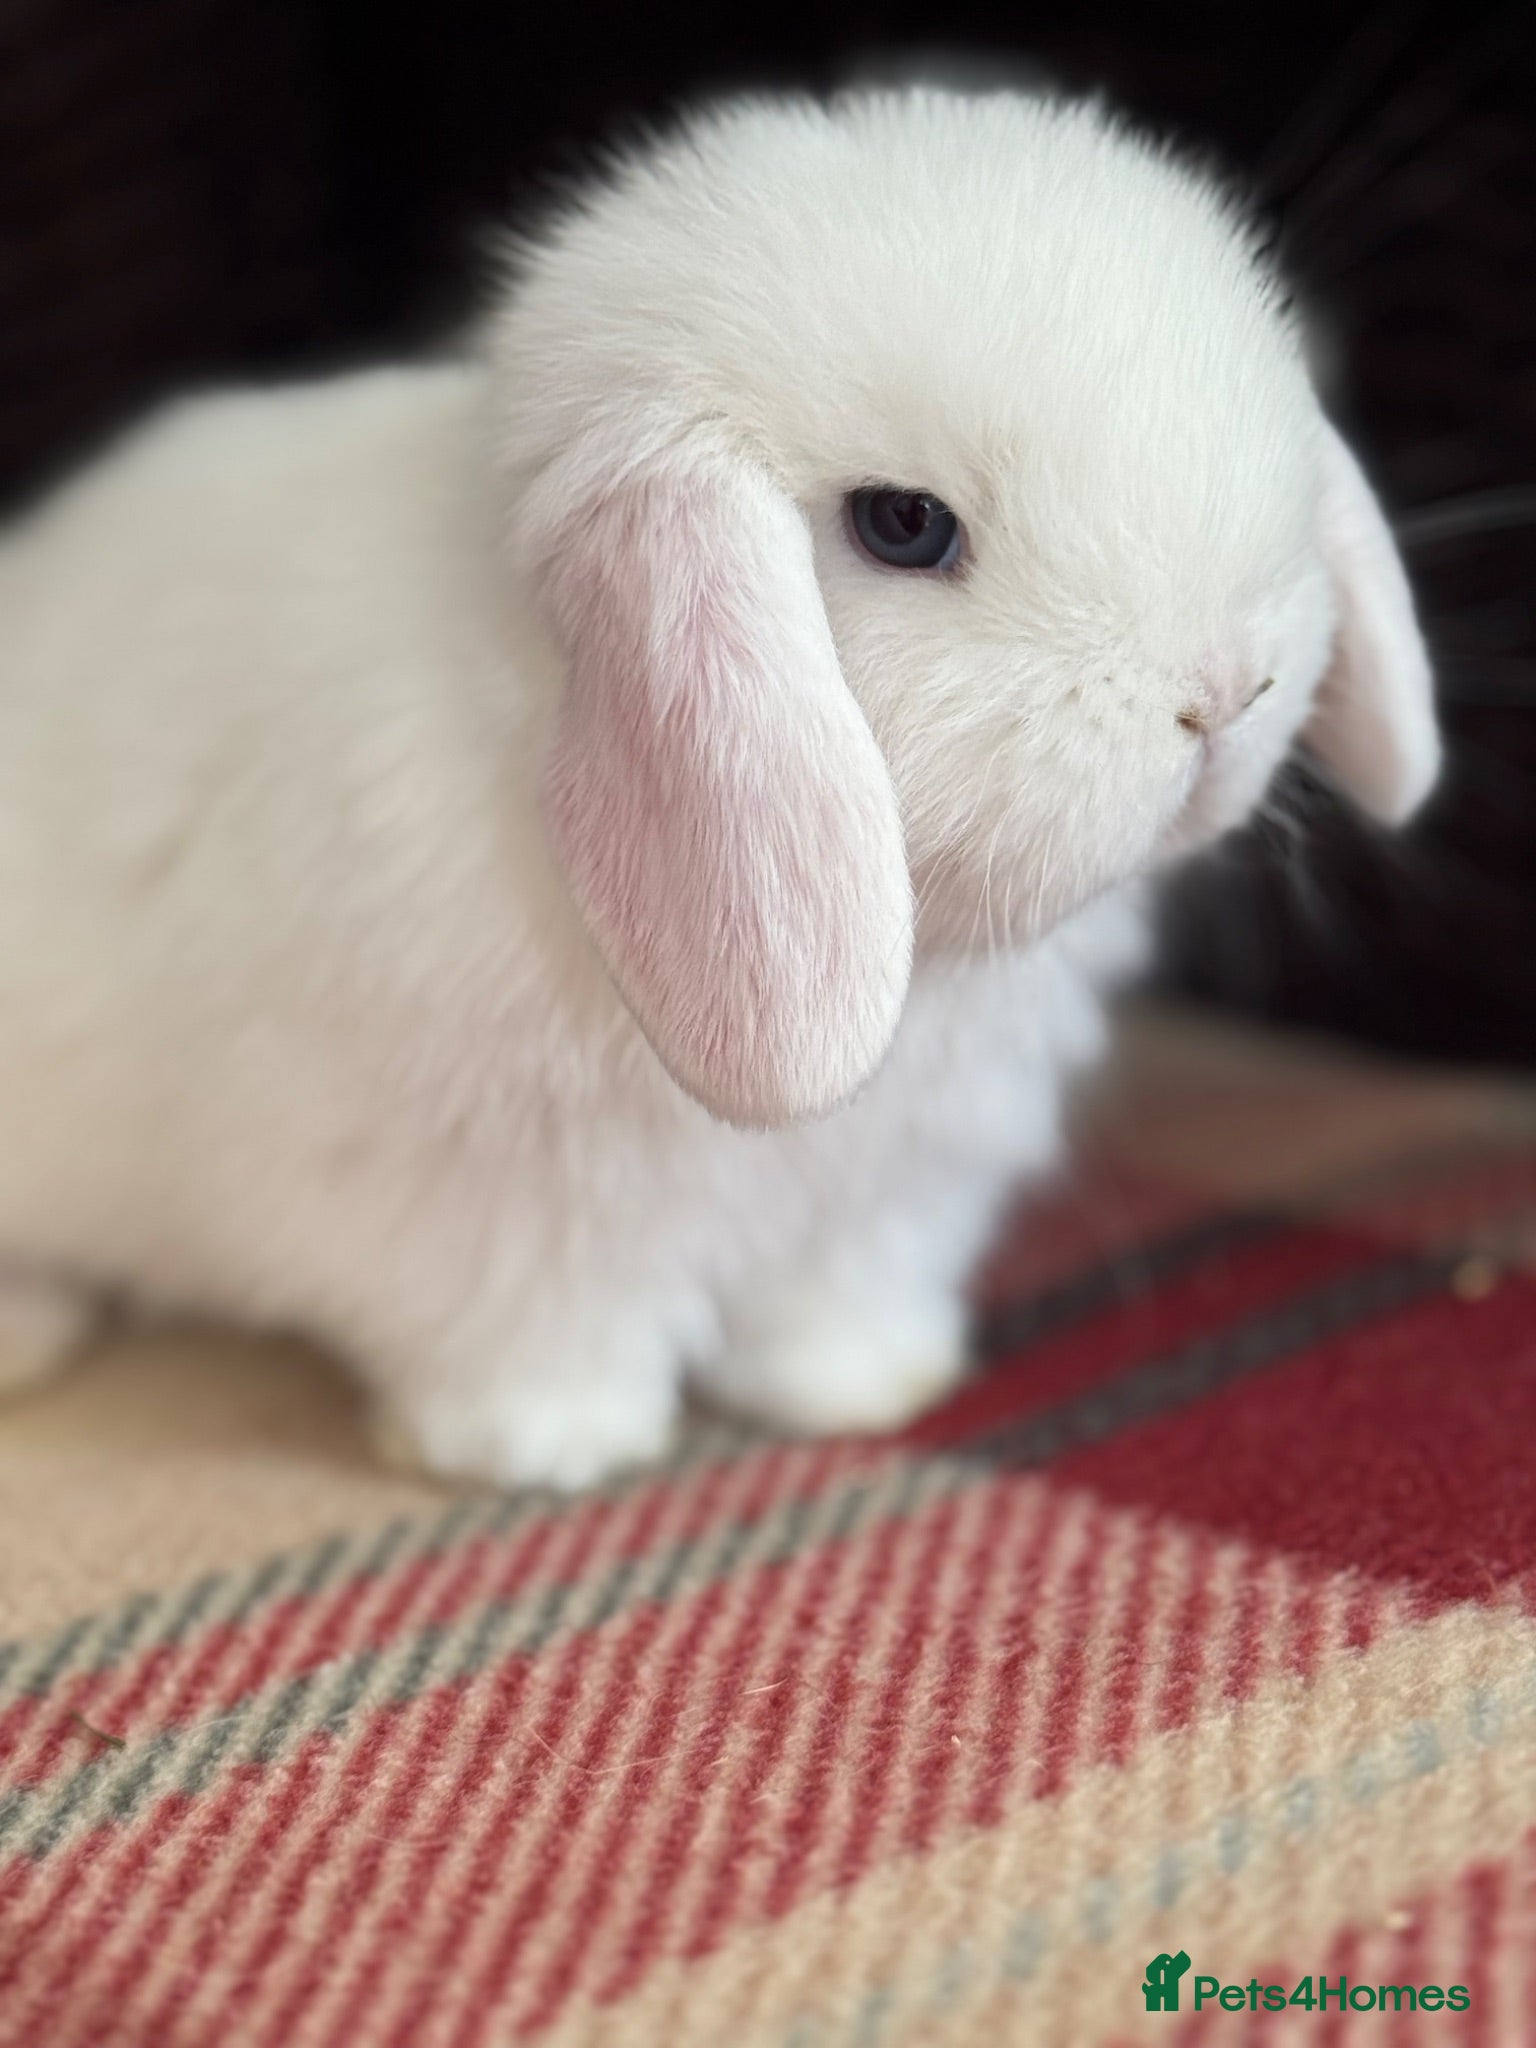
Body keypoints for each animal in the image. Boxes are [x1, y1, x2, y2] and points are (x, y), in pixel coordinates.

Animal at [0, 87, 1438, 1488]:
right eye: (903, 525)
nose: (1227, 692)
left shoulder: (889, 1191)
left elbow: (833, 1300)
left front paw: (865, 1387)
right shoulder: (478, 1205)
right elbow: (532, 1330)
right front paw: (545, 1449)